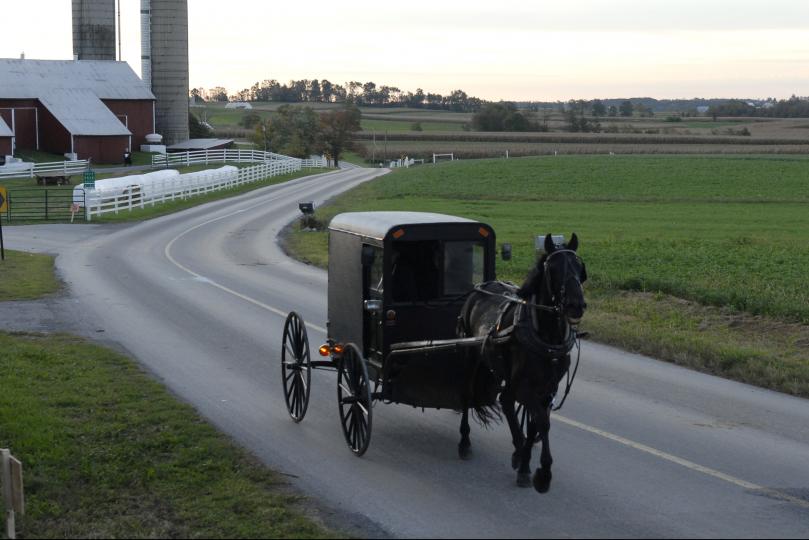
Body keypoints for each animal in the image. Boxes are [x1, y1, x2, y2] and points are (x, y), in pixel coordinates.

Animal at [454, 232, 588, 494]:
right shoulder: (524, 387)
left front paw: (527, 462)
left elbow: (537, 424)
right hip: (472, 357)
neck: (547, 337)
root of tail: (479, 288)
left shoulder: (548, 388)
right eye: (553, 269)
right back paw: (465, 442)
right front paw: (540, 472)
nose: (576, 305)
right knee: (470, 395)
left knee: (506, 401)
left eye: (580, 267)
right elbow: (542, 423)